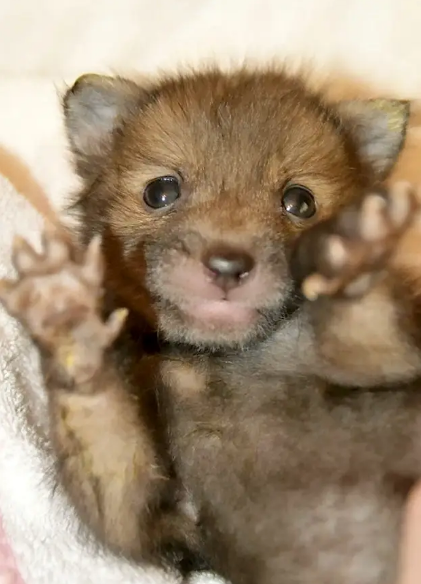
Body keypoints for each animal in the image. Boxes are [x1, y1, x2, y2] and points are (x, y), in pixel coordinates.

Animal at [0, 69, 420, 584]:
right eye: (161, 191)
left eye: (300, 202)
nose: (227, 266)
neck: (208, 360)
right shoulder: (158, 526)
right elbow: (113, 469)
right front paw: (63, 312)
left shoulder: (390, 355)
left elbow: (368, 334)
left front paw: (352, 251)